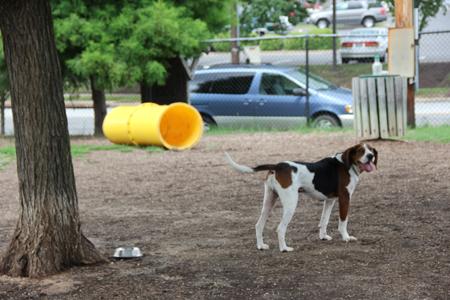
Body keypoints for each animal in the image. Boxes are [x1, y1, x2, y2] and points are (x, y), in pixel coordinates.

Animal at [225, 144, 376, 252]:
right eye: (361, 150)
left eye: (371, 150)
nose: (371, 156)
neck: (347, 164)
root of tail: (278, 166)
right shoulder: (345, 199)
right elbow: (343, 222)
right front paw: (346, 237)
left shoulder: (329, 201)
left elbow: (324, 221)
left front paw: (323, 236)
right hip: (291, 204)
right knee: (280, 229)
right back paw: (284, 248)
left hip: (269, 200)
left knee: (259, 225)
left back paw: (261, 246)